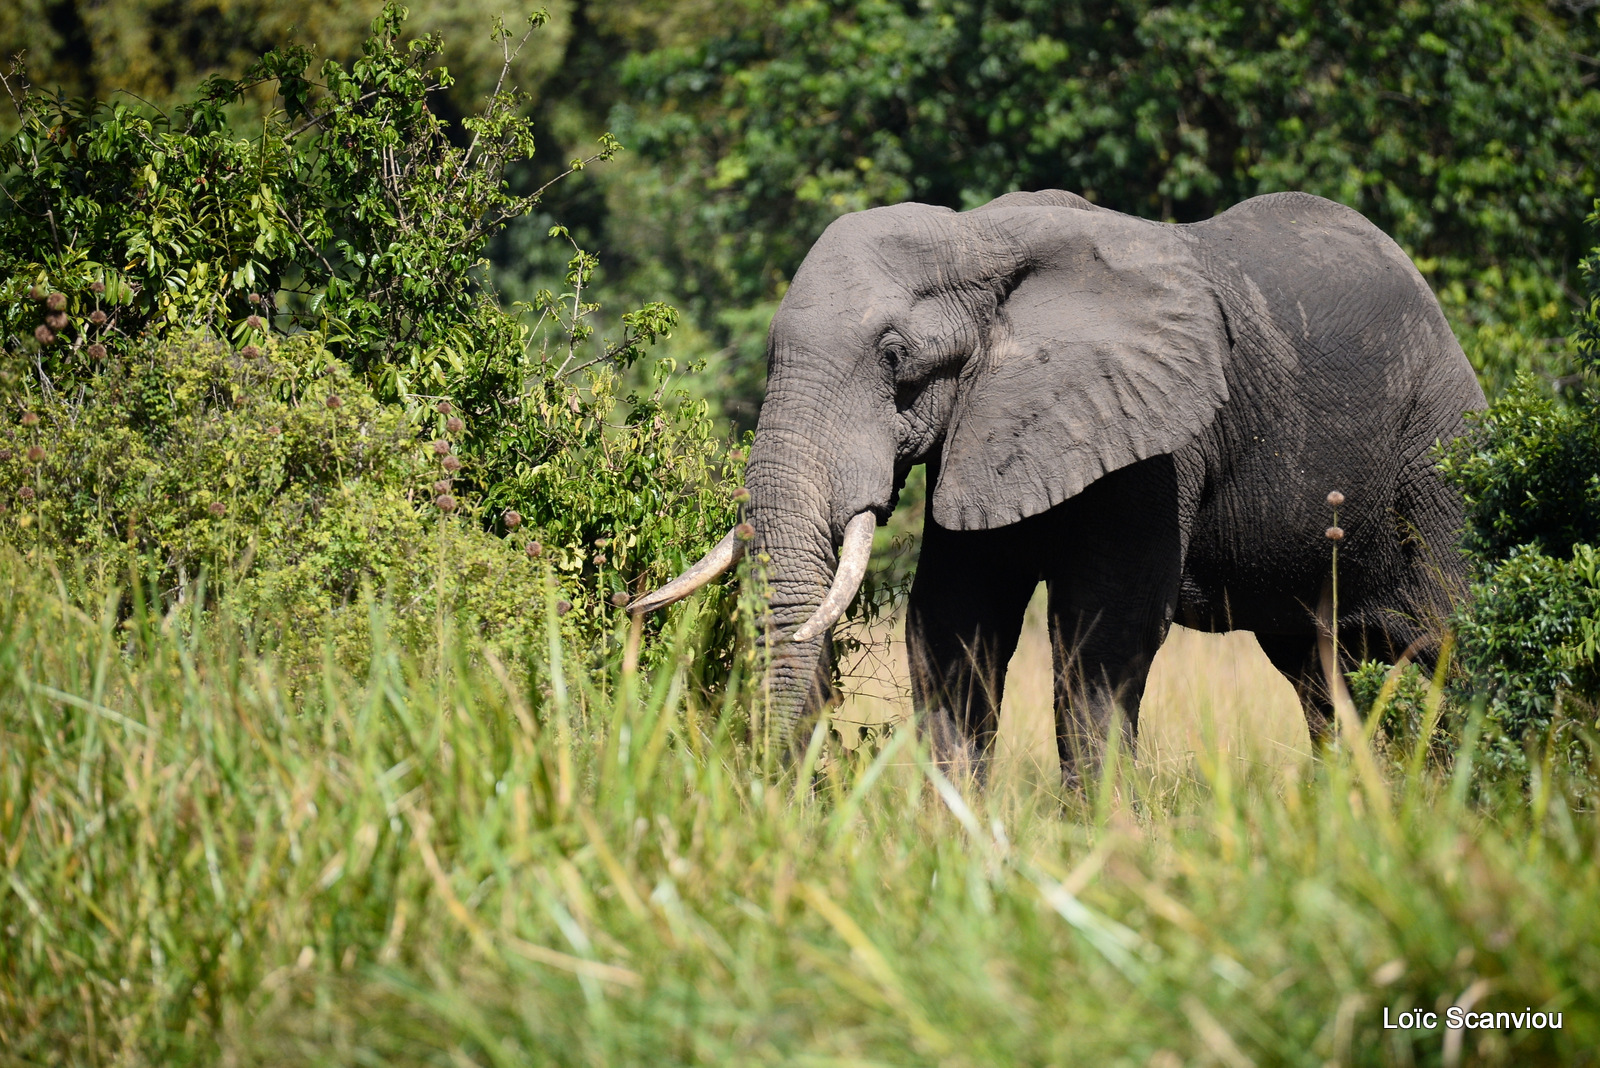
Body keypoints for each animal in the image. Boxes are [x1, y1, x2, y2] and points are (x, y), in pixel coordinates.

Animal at [630, 191, 1478, 777]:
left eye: (896, 359)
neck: (979, 238)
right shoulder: (979, 427)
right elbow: (952, 621)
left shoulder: (1156, 441)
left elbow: (1105, 634)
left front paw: (1101, 845)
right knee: (1321, 677)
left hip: (1442, 452)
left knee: (1450, 642)